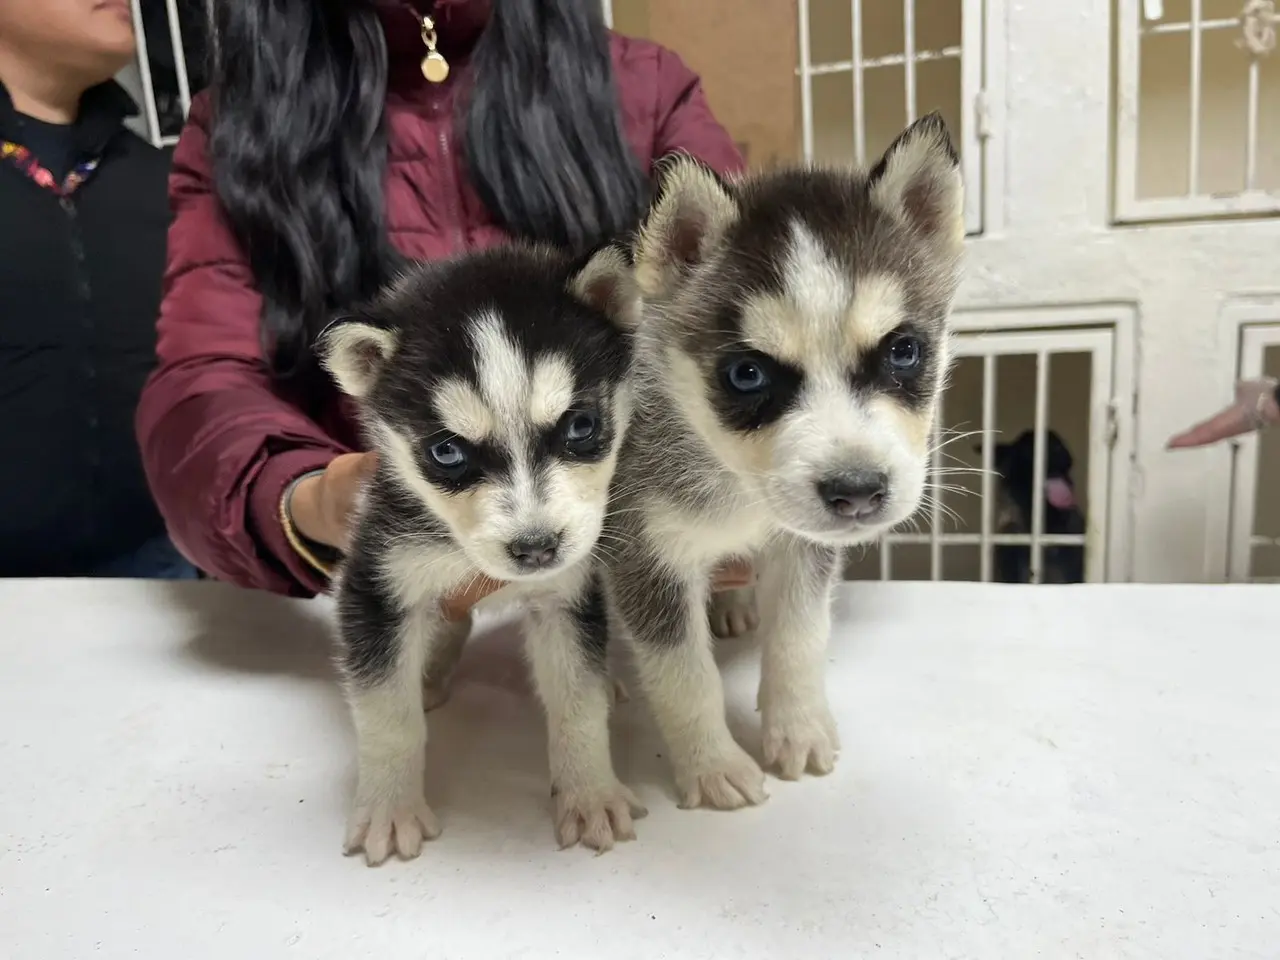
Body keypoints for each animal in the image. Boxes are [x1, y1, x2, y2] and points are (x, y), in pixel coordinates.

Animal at [316, 240, 645, 865]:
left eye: (580, 425)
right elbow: (387, 716)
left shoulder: (566, 595)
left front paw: (589, 794)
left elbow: (578, 700)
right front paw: (390, 809)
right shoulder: (376, 582)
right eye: (447, 452)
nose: (536, 549)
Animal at [604, 114, 962, 814]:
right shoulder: (644, 554)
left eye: (903, 351)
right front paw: (713, 765)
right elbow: (683, 673)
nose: (857, 492)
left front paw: (797, 728)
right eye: (747, 374)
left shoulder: (804, 546)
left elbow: (800, 634)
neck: (736, 483)